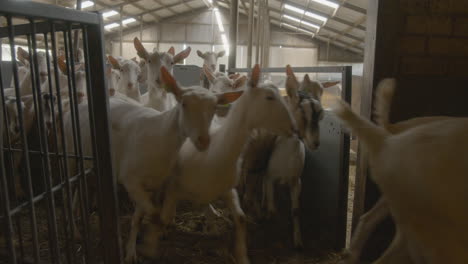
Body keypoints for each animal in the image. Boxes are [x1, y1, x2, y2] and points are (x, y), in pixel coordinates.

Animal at [140, 64, 296, 264]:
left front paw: (242, 255)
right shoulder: (175, 188)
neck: (215, 154)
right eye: (269, 97)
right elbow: (164, 217)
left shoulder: (229, 190)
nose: (293, 128)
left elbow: (241, 218)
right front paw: (150, 247)